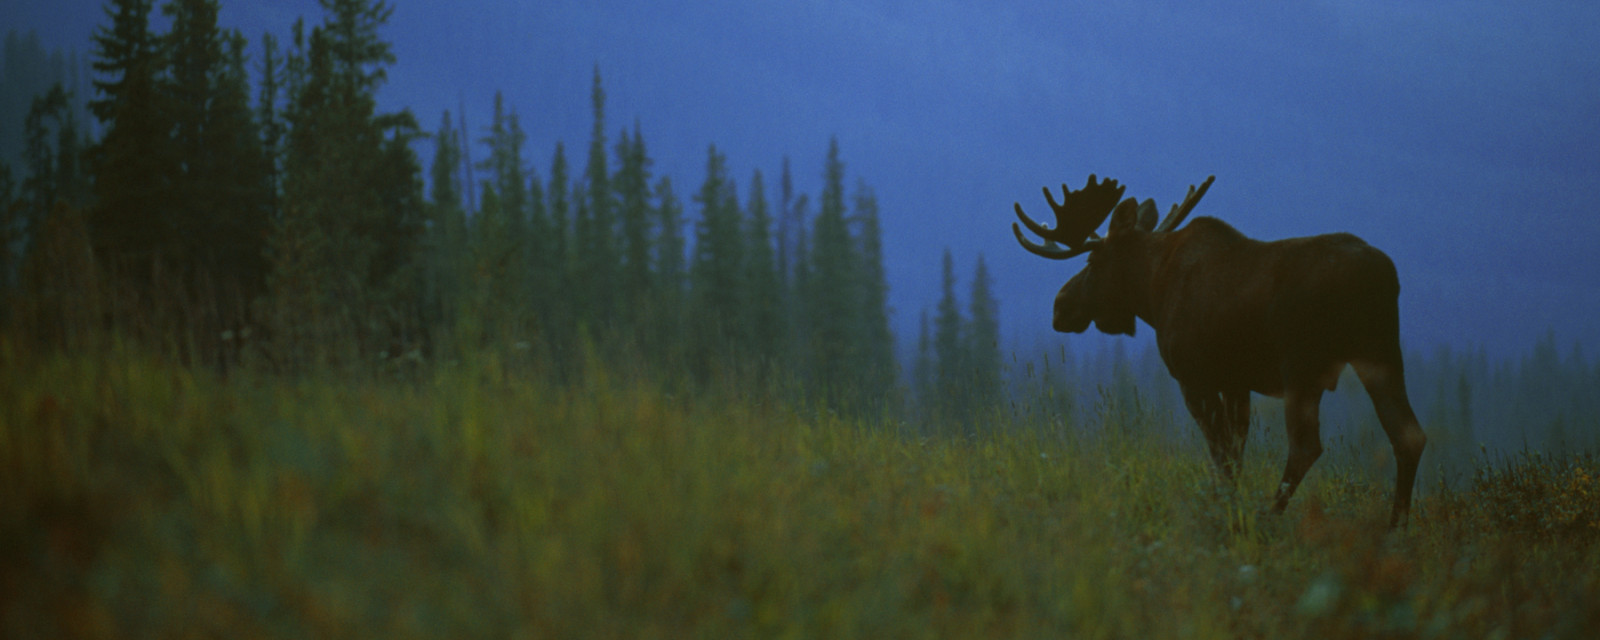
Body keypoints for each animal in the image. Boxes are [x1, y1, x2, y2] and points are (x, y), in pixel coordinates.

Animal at [1012, 174, 1427, 528]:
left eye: (1093, 260)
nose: (1060, 306)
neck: (1152, 292)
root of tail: (1384, 277)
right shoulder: (1235, 381)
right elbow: (1236, 451)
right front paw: (1229, 503)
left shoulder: (1195, 377)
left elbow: (1221, 452)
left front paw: (1223, 510)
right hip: (1382, 355)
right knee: (1408, 435)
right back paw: (1396, 528)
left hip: (1302, 367)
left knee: (1306, 446)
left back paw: (1270, 517)